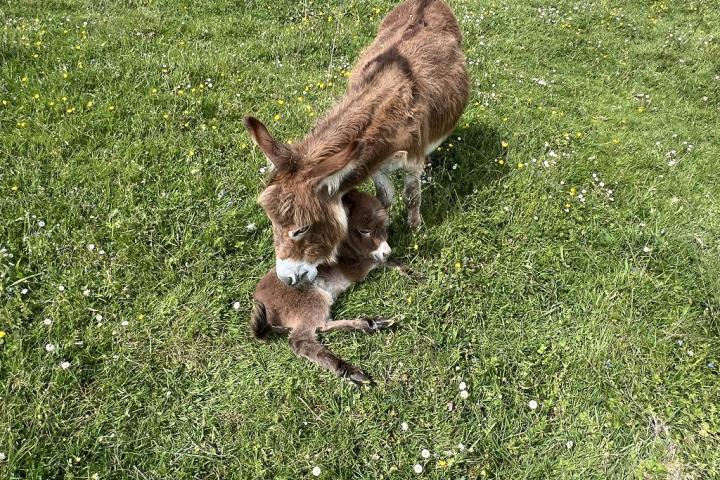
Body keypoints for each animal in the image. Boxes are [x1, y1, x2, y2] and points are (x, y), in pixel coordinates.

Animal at [252, 189, 394, 384]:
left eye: (384, 227)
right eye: (364, 231)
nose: (387, 252)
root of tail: (264, 307)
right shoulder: (357, 267)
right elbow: (380, 262)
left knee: (322, 326)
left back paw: (372, 324)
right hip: (314, 299)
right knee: (301, 340)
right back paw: (350, 370)